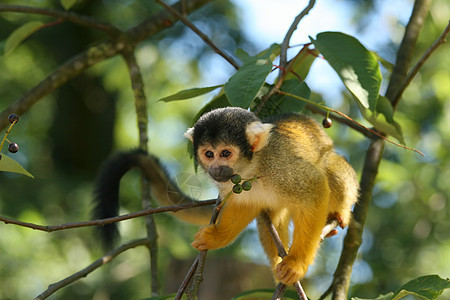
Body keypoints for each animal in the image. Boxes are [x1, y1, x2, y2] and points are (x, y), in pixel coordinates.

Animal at [92, 106, 358, 284]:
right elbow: (244, 206)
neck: (252, 169)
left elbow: (315, 188)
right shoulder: (234, 186)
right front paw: (217, 237)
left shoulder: (282, 167)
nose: (217, 170)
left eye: (226, 153)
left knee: (328, 166)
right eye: (209, 154)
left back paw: (339, 213)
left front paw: (296, 263)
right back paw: (276, 263)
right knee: (268, 218)